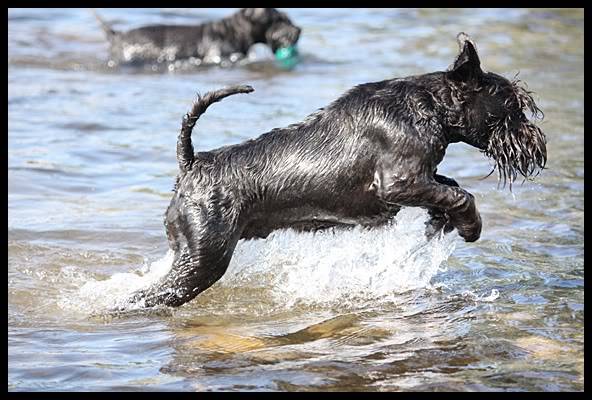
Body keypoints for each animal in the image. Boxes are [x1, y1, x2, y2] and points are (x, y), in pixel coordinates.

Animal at [125, 33, 544, 310]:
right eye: (513, 106)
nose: (537, 142)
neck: (429, 106)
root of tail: (192, 163)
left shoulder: (420, 178)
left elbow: (449, 186)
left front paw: (440, 221)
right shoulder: (398, 182)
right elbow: (460, 194)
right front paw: (469, 226)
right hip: (202, 260)